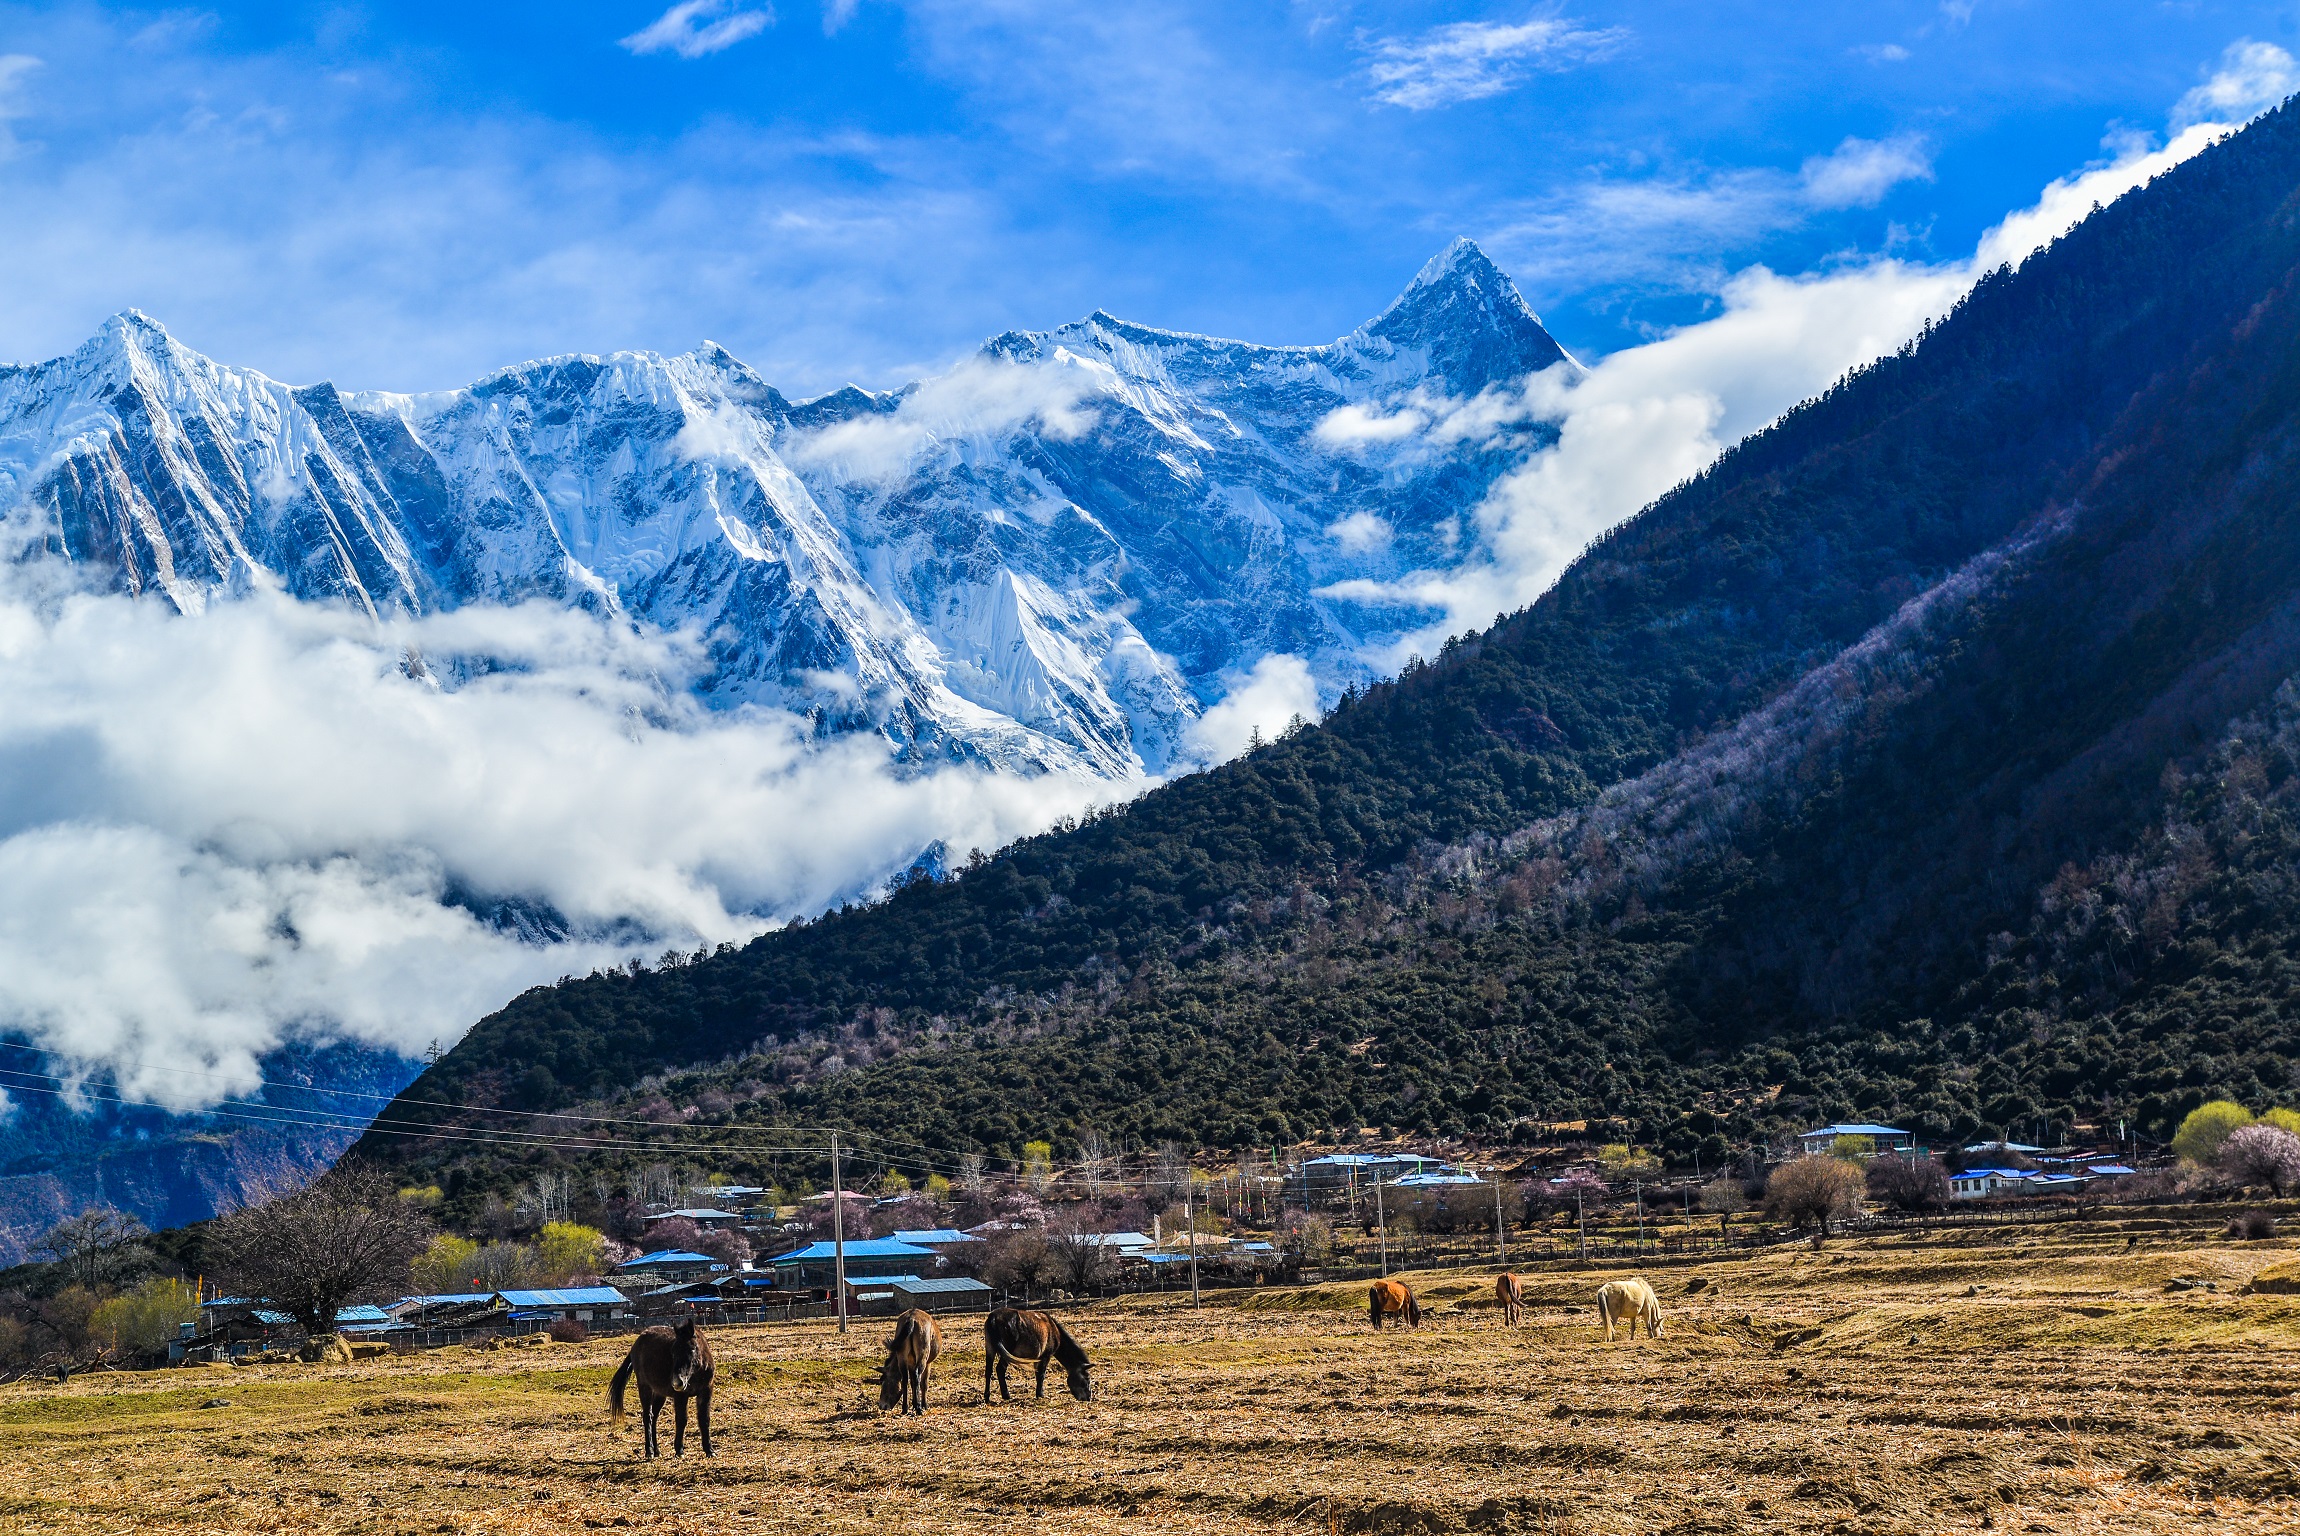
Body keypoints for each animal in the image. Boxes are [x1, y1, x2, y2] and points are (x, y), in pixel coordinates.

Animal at [607, 1315, 713, 1462]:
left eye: (692, 1348)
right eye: (673, 1351)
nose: (677, 1382)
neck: (696, 1373)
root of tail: (637, 1342)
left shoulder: (706, 1391)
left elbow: (704, 1419)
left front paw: (709, 1450)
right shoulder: (681, 1396)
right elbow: (682, 1420)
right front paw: (679, 1450)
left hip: (660, 1394)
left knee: (654, 1417)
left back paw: (657, 1450)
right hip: (644, 1387)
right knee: (648, 1416)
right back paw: (649, 1451)